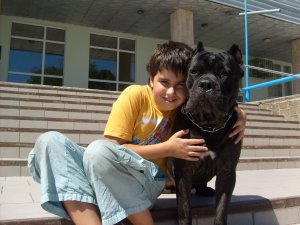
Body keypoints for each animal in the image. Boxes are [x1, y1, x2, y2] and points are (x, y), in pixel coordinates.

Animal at [173, 42, 244, 225]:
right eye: (194, 71)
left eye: (224, 73)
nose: (206, 84)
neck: (209, 126)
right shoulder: (184, 170)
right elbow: (184, 208)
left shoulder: (227, 170)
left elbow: (221, 209)